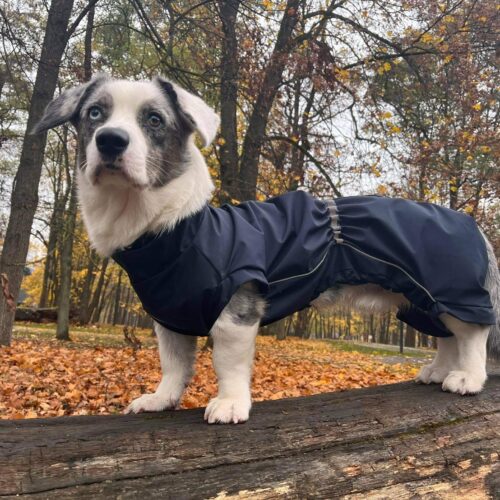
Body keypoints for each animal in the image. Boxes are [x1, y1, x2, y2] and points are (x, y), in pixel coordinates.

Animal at [33, 75, 498, 426]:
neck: (172, 230)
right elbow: (173, 366)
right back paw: (439, 371)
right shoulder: (170, 318)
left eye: (153, 119)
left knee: (472, 336)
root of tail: (472, 226)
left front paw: (230, 404)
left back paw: (467, 378)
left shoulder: (237, 311)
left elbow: (228, 364)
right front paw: (160, 399)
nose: (111, 141)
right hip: (422, 302)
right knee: (448, 339)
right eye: (95, 113)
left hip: (452, 294)